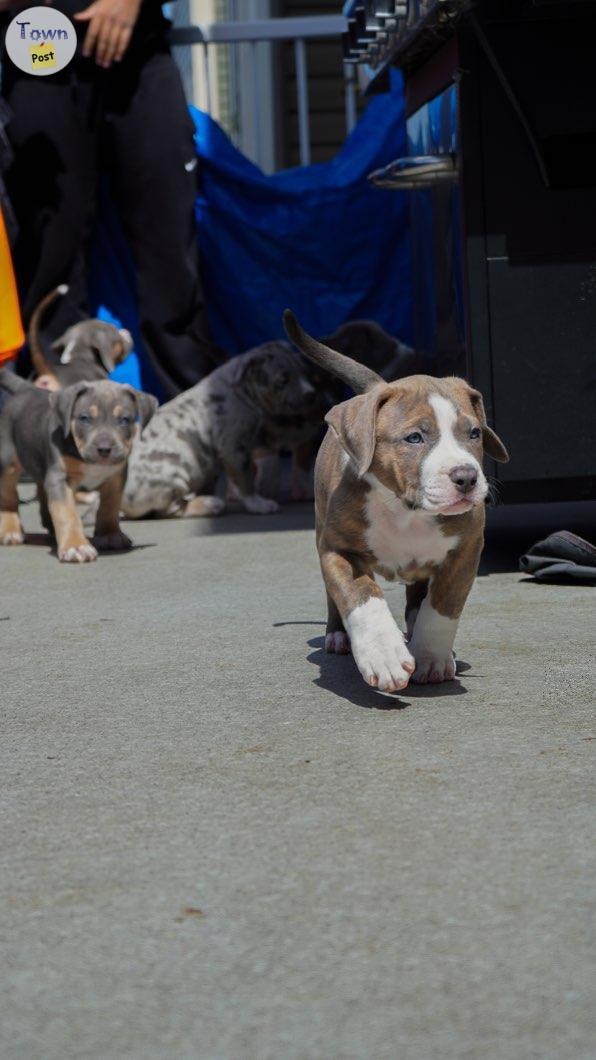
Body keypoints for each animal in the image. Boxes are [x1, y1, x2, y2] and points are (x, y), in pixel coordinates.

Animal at [0, 377, 155, 568]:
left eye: (124, 420)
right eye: (84, 418)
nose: (104, 449)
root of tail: (27, 389)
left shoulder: (116, 477)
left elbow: (110, 506)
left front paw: (109, 534)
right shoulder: (60, 480)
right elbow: (66, 513)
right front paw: (75, 546)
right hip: (7, 462)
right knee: (9, 496)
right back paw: (10, 530)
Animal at [282, 309, 504, 695]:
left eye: (474, 433)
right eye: (414, 438)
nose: (466, 477)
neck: (406, 511)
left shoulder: (466, 552)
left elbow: (442, 607)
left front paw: (430, 657)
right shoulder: (338, 551)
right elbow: (362, 599)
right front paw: (382, 655)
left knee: (419, 599)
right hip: (320, 530)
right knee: (333, 596)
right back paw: (338, 635)